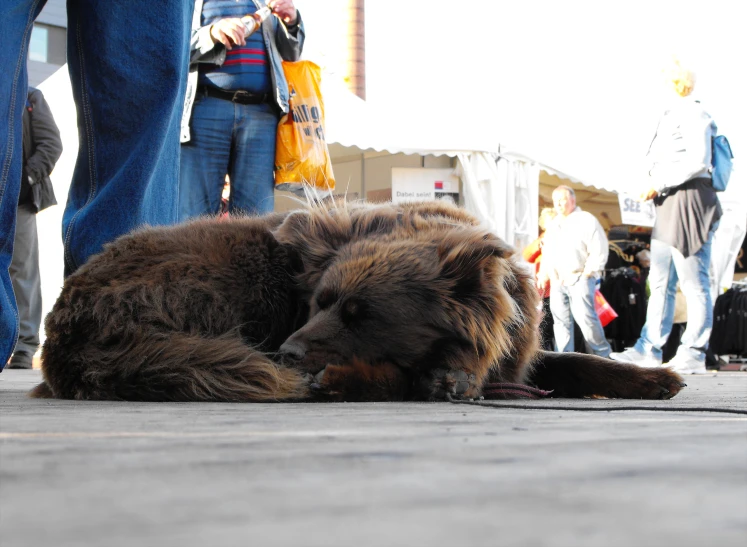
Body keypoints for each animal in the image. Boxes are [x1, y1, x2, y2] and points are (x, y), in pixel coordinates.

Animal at [32, 201, 688, 402]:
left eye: (358, 315)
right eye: (316, 304)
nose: (286, 352)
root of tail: (64, 327)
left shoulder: (521, 356)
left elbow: (577, 360)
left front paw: (651, 378)